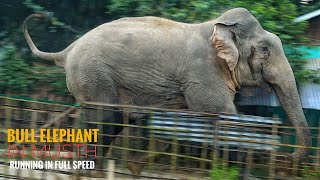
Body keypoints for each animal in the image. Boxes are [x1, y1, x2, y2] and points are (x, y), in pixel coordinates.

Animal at [24, 8, 310, 176]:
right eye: (265, 50)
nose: (286, 156)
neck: (216, 27)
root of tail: (66, 51)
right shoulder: (202, 74)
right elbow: (225, 117)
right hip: (93, 77)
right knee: (108, 119)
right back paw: (91, 171)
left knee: (117, 121)